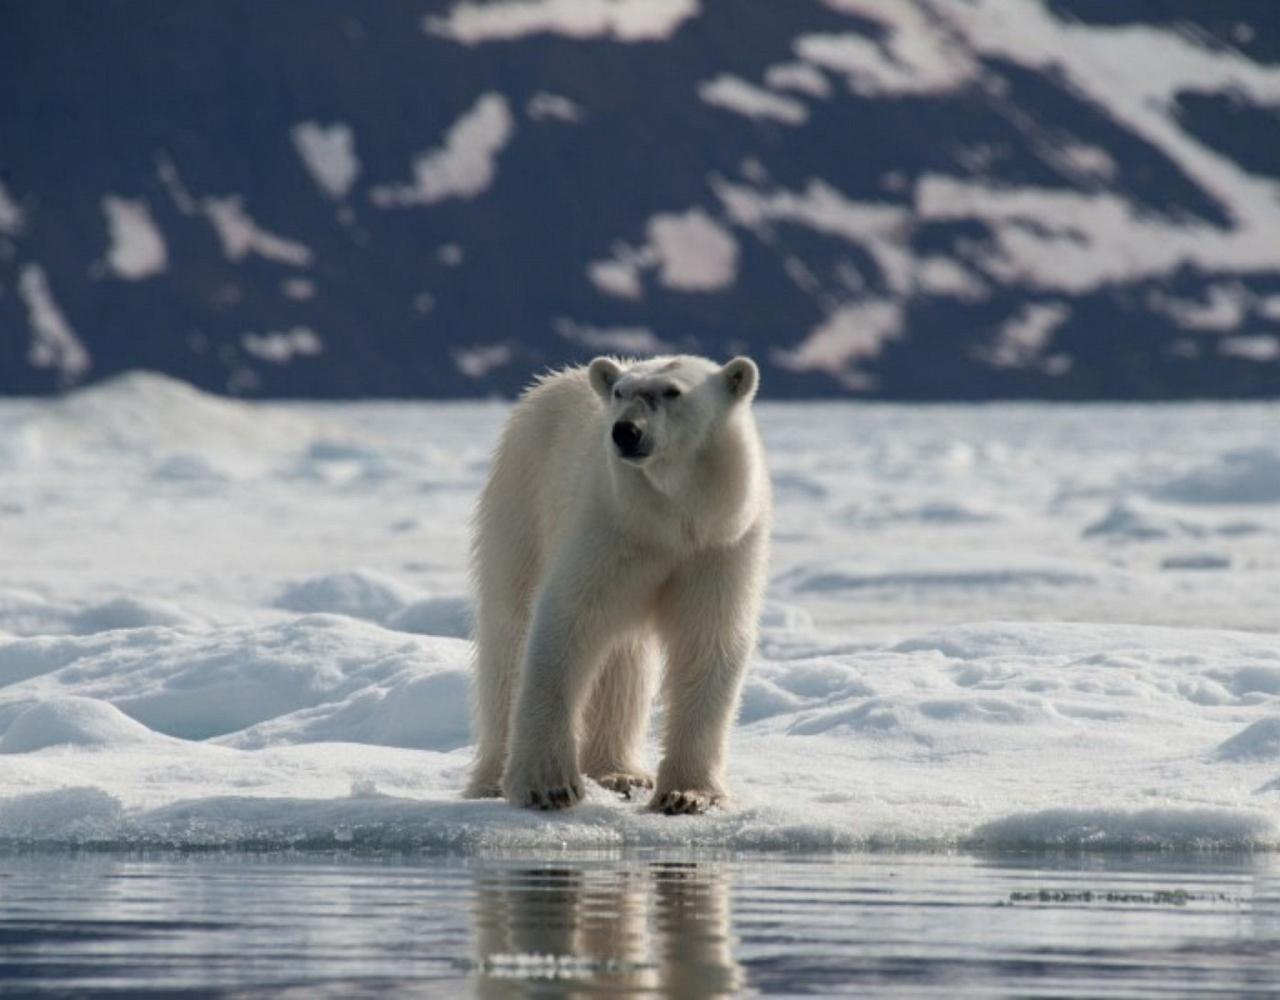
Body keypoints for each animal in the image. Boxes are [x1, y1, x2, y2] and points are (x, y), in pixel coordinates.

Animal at [468, 353, 773, 809]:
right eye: (619, 392)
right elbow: (567, 623)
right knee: (507, 632)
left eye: (672, 392)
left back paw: (620, 773)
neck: (670, 524)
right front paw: (548, 787)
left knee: (624, 662)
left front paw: (688, 795)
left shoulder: (719, 545)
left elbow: (707, 639)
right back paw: (490, 780)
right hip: (521, 499)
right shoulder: (610, 529)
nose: (625, 431)